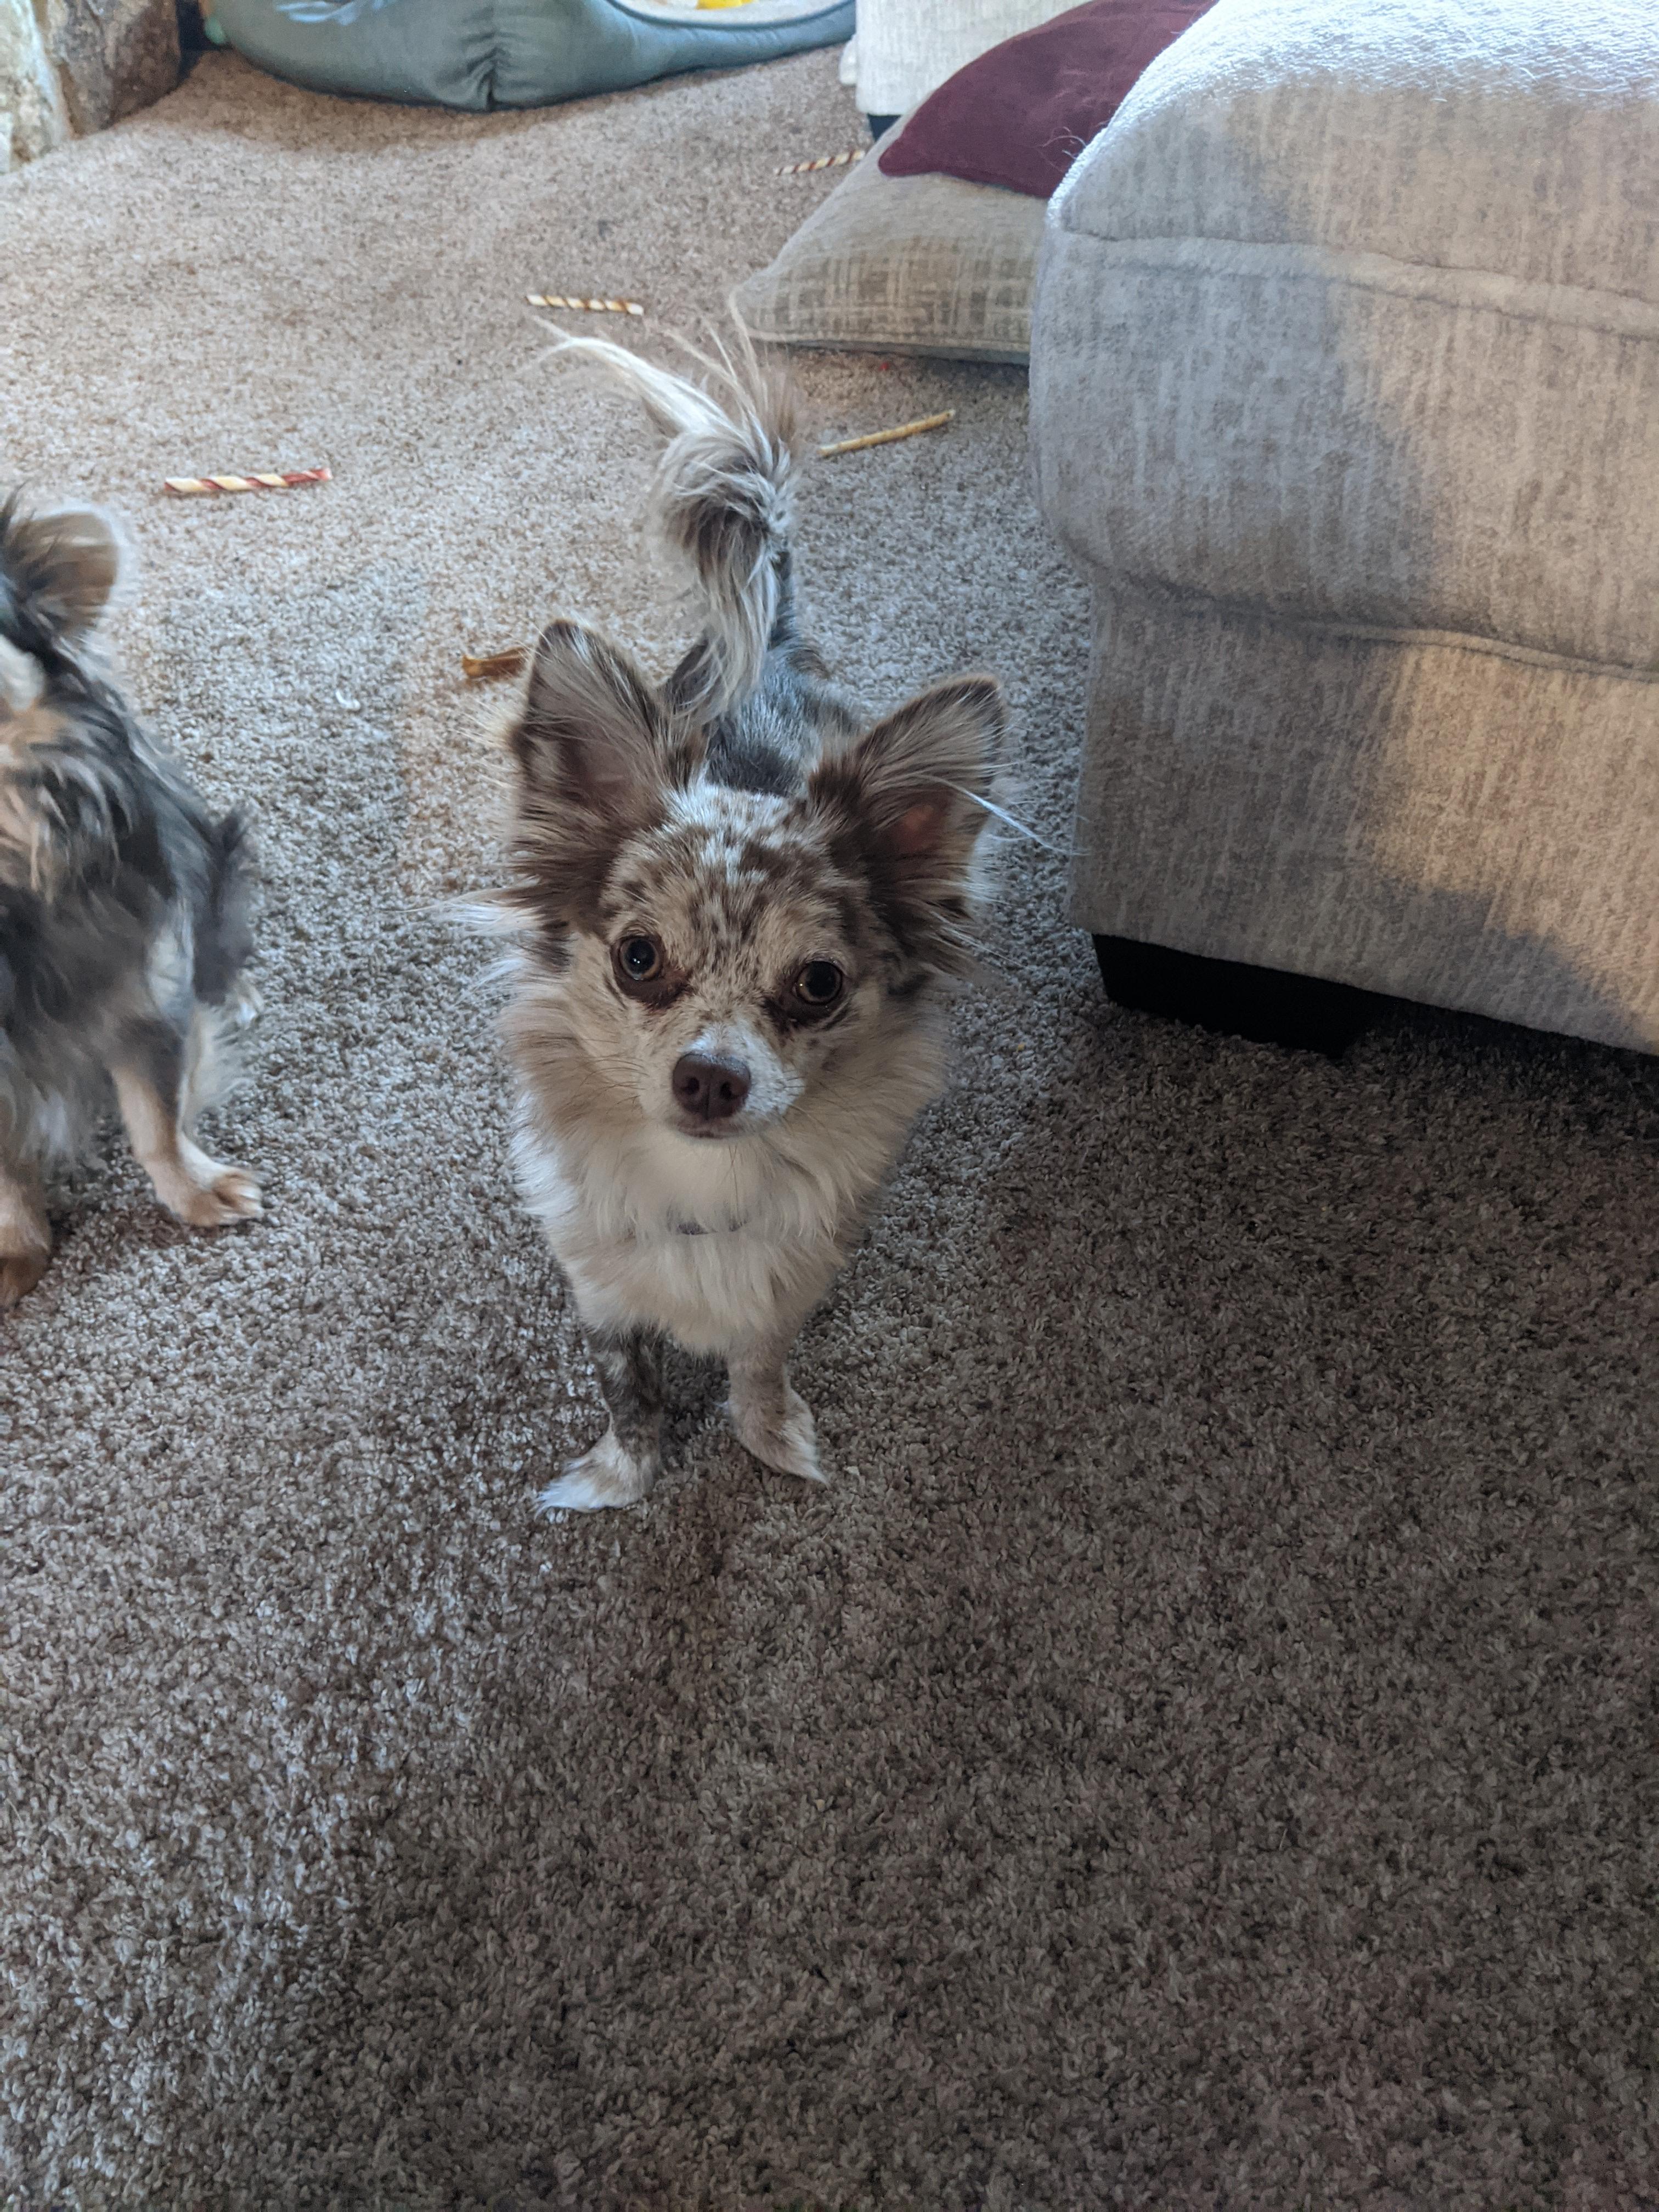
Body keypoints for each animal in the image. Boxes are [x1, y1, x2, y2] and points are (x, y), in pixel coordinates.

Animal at [491, 331, 1007, 1511]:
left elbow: (758, 1368)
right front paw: (618, 1481)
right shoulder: (600, 1292)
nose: (710, 1078)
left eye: (817, 984)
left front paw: (772, 1441)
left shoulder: (788, 1286)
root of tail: (770, 644)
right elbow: (628, 1390)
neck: (703, 1189)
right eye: (638, 959)